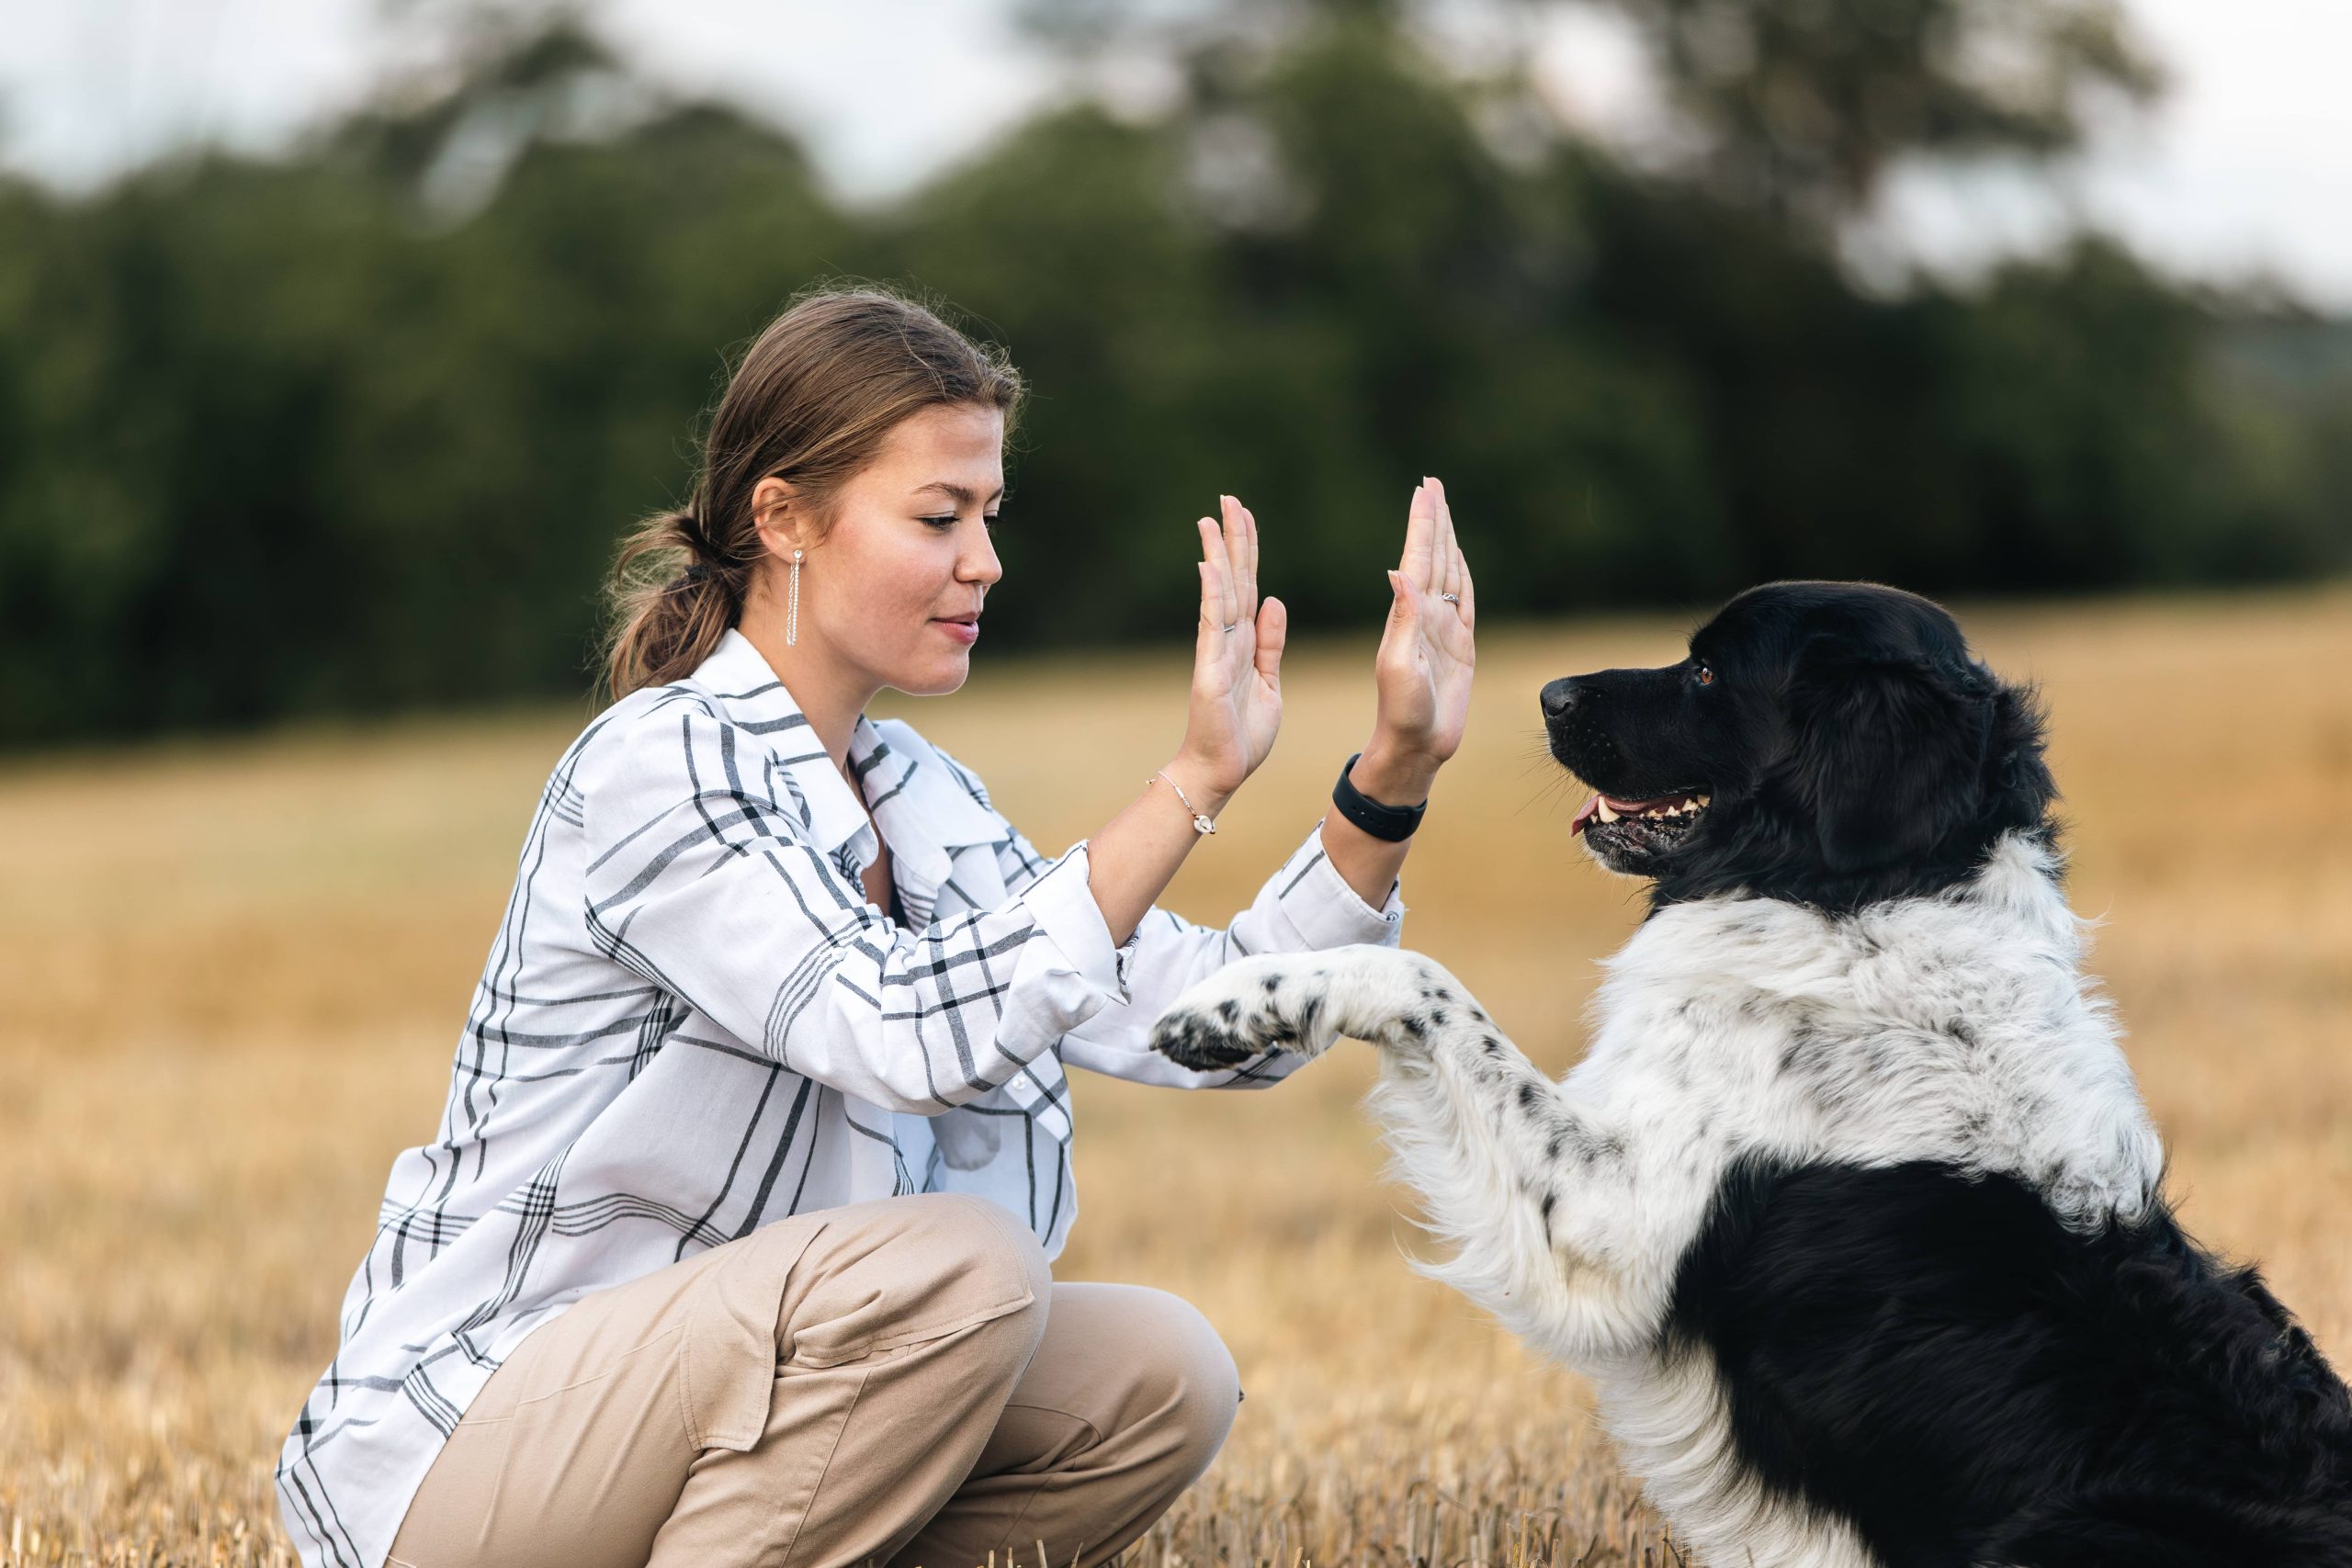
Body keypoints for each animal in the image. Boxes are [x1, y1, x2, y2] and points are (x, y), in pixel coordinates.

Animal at [1148, 581, 2342, 1568]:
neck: (1859, 895)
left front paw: (1234, 1005)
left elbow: (1422, 982)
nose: (1547, 692)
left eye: (1711, 674)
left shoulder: (1612, 1221)